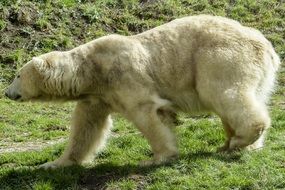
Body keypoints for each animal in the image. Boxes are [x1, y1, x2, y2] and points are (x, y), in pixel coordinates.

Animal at [5, 15, 280, 169]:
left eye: (17, 75)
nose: (7, 92)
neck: (92, 70)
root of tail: (268, 47)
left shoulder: (125, 77)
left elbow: (146, 112)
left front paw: (158, 157)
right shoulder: (97, 96)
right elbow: (86, 128)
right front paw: (53, 164)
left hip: (220, 58)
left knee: (223, 93)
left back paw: (239, 140)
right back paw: (236, 145)